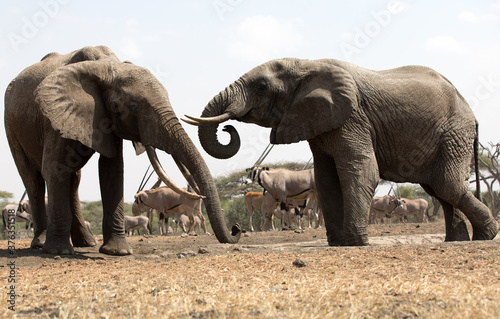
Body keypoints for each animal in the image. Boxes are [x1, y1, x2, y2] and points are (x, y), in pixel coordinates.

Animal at [4, 45, 241, 256]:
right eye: (133, 106)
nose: (236, 229)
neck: (106, 66)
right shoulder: (55, 116)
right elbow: (54, 168)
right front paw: (58, 251)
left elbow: (112, 170)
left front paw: (118, 251)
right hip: (11, 125)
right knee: (33, 180)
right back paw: (42, 244)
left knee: (74, 180)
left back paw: (86, 243)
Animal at [186, 58, 498, 248]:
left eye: (261, 87)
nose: (228, 128)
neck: (306, 65)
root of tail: (470, 111)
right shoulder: (321, 124)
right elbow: (326, 178)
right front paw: (338, 242)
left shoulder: (352, 117)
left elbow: (361, 169)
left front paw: (356, 242)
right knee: (439, 188)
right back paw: (457, 240)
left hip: (454, 133)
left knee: (446, 185)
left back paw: (485, 236)